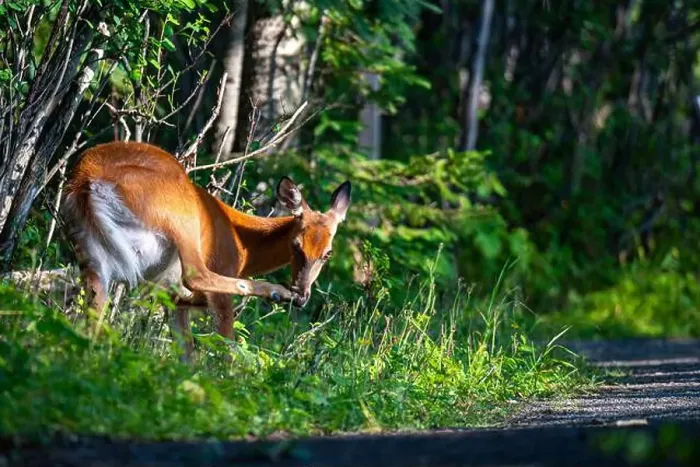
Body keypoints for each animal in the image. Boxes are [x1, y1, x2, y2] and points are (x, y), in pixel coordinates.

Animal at [62, 141, 351, 358]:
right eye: (295, 245)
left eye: (327, 253)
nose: (301, 294)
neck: (243, 244)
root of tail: (87, 180)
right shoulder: (221, 264)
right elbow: (225, 341)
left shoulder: (174, 304)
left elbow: (186, 352)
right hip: (181, 214)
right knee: (197, 275)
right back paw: (275, 292)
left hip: (91, 256)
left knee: (93, 317)